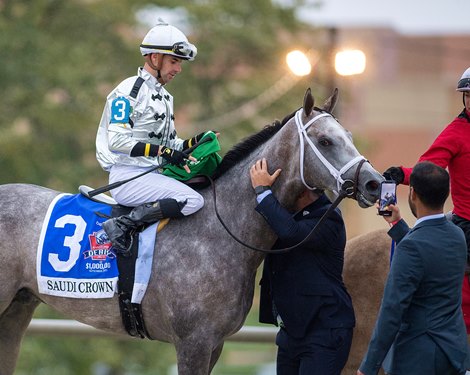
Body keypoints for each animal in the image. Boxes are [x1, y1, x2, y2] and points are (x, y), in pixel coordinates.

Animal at [0, 88, 384, 374]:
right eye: (325, 141)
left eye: (348, 136)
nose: (374, 183)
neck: (221, 231)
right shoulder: (193, 343)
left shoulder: (214, 344)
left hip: (17, 309)